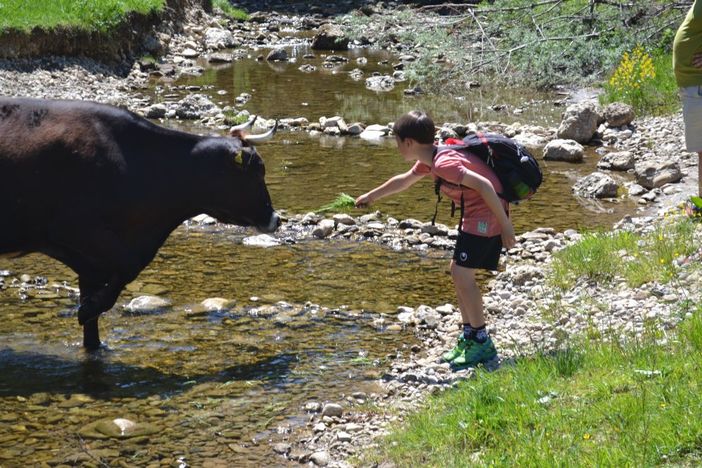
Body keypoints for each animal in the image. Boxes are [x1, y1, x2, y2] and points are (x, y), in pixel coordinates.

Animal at [0, 97, 280, 350]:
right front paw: (87, 310)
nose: (276, 219)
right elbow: (130, 265)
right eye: (257, 171)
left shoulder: (88, 260)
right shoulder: (73, 230)